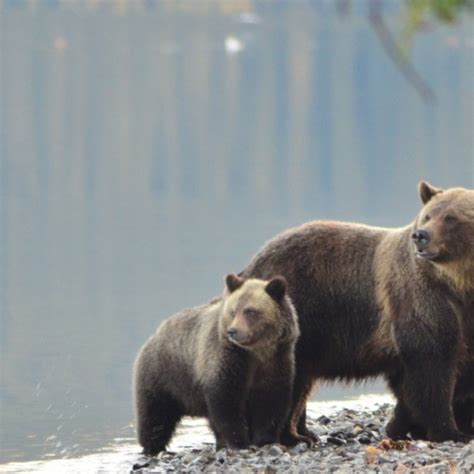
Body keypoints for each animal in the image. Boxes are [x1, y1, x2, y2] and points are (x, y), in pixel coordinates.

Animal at [131, 274, 298, 456]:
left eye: (250, 311)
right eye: (233, 311)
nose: (233, 331)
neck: (256, 352)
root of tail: (155, 334)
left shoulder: (276, 362)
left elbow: (271, 402)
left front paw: (267, 441)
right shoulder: (228, 360)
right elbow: (226, 401)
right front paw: (240, 443)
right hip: (164, 375)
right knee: (155, 416)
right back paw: (153, 447)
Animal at [241, 182, 474, 444]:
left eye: (450, 217)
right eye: (427, 215)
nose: (421, 236)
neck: (460, 283)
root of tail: (254, 262)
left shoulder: (466, 314)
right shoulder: (422, 297)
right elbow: (432, 364)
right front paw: (447, 430)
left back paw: (303, 432)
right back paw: (290, 436)